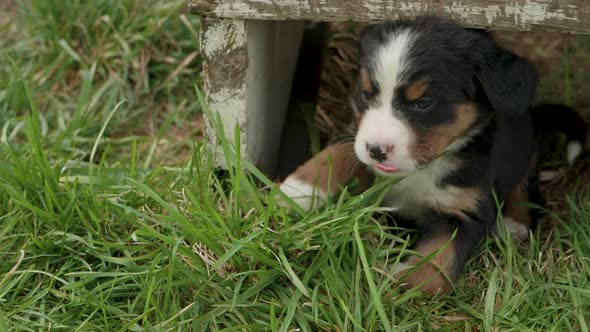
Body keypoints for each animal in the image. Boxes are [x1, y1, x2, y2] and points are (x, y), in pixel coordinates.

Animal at [278, 16, 588, 294]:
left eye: (424, 103)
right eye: (365, 94)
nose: (377, 151)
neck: (422, 168)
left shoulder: (465, 209)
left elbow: (439, 257)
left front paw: (405, 287)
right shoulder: (357, 136)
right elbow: (340, 150)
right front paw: (298, 190)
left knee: (524, 180)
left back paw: (514, 223)